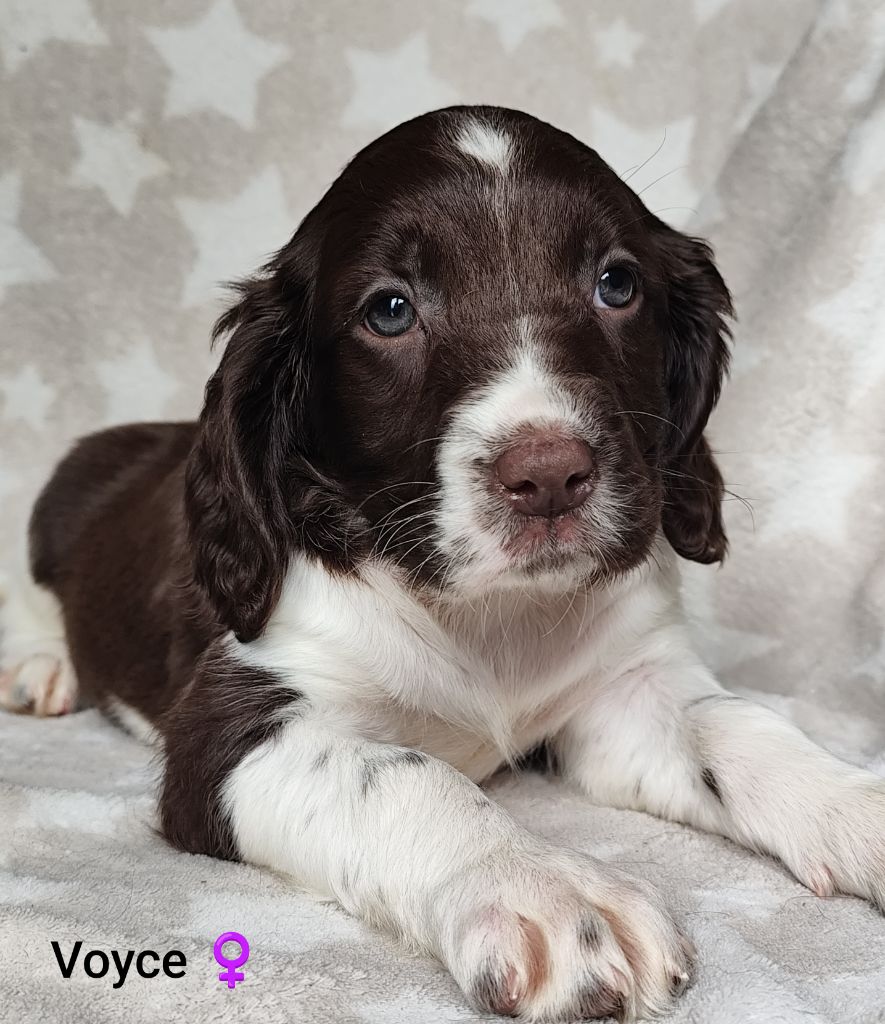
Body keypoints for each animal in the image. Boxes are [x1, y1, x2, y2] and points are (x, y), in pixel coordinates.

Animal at [1, 108, 885, 1019]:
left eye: (616, 284)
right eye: (389, 310)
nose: (549, 477)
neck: (483, 611)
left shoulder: (625, 688)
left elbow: (735, 724)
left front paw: (857, 809)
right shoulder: (231, 732)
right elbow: (407, 776)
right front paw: (546, 891)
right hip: (57, 498)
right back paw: (41, 666)